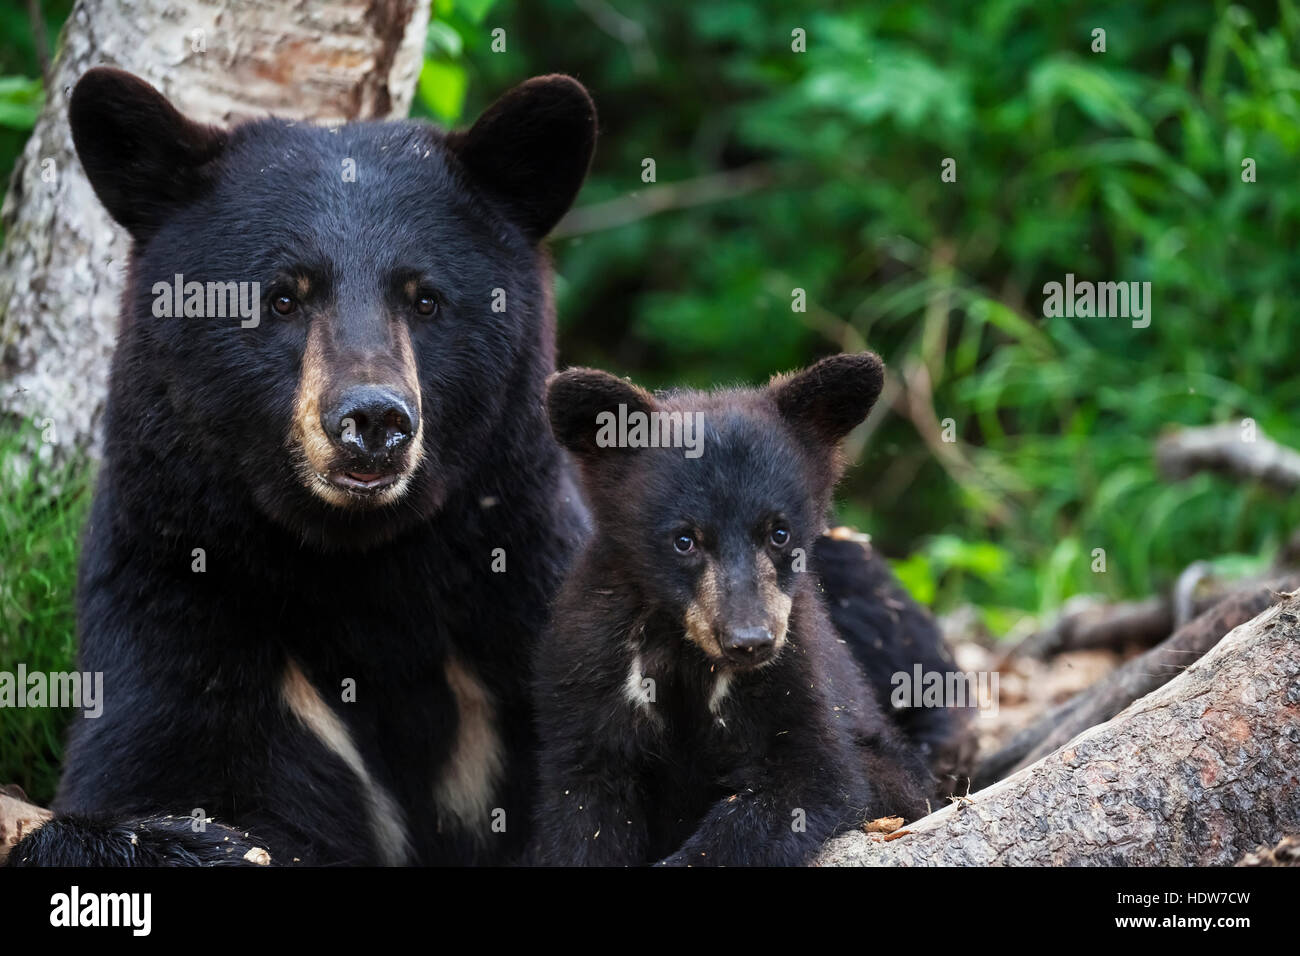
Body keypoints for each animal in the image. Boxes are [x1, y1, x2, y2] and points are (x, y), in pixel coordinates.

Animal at [533, 356, 930, 863]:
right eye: (684, 539)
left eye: (779, 532)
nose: (750, 641)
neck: (685, 649)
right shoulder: (590, 674)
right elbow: (582, 808)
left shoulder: (797, 675)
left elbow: (813, 777)